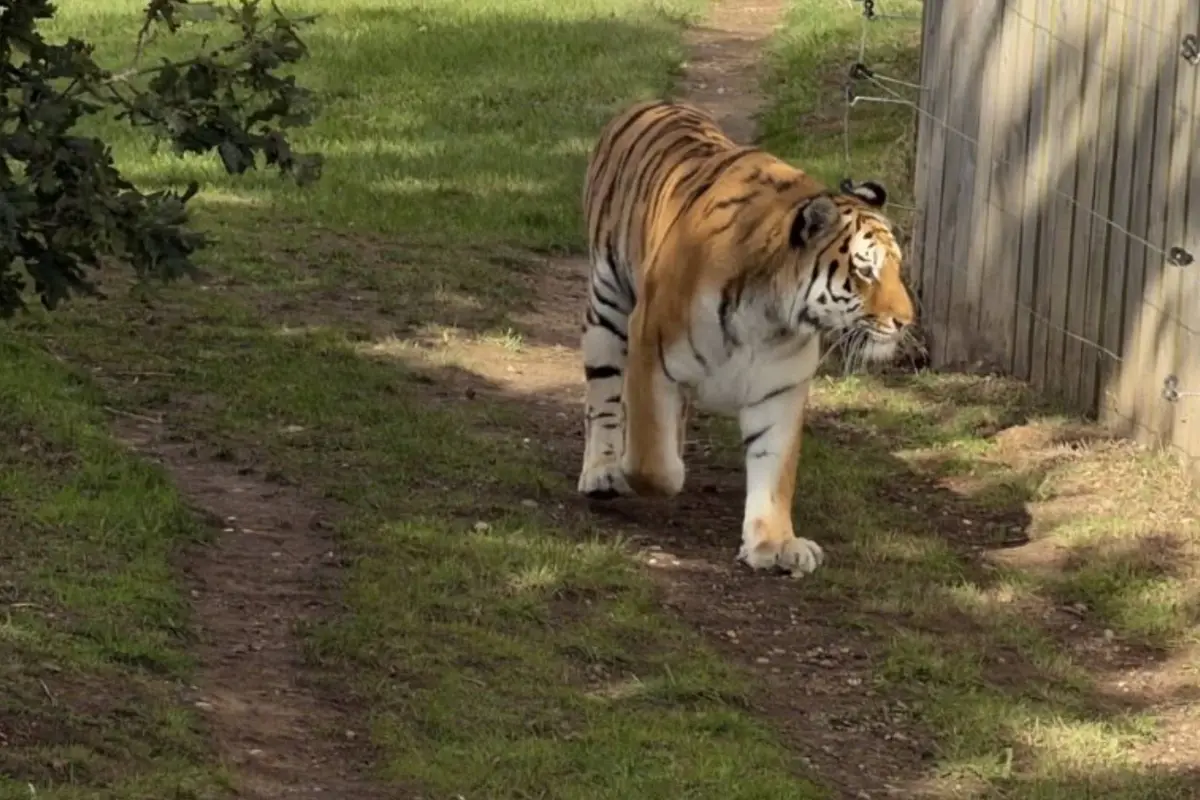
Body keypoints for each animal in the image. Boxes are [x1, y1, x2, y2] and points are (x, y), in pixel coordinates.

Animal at [575, 98, 915, 577]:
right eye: (866, 269)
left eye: (897, 266)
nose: (906, 320)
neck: (769, 315)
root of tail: (652, 102)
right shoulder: (650, 351)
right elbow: (654, 464)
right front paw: (635, 471)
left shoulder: (780, 389)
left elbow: (773, 471)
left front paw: (774, 544)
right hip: (608, 308)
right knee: (604, 396)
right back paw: (603, 472)